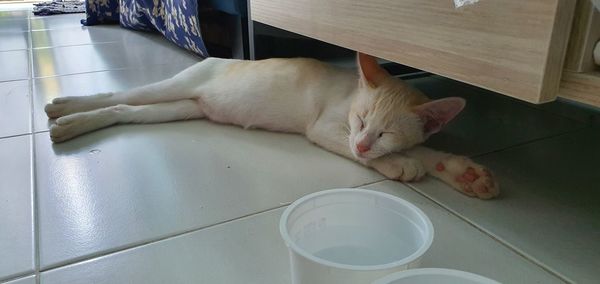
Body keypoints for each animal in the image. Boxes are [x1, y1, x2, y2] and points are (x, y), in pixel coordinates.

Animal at [44, 53, 500, 200]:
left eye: (387, 131)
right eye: (361, 120)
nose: (365, 143)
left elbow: (423, 149)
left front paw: (462, 172)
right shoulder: (327, 129)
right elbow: (364, 154)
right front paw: (398, 165)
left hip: (180, 108)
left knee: (123, 108)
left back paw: (71, 121)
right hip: (176, 87)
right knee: (118, 95)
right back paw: (64, 109)